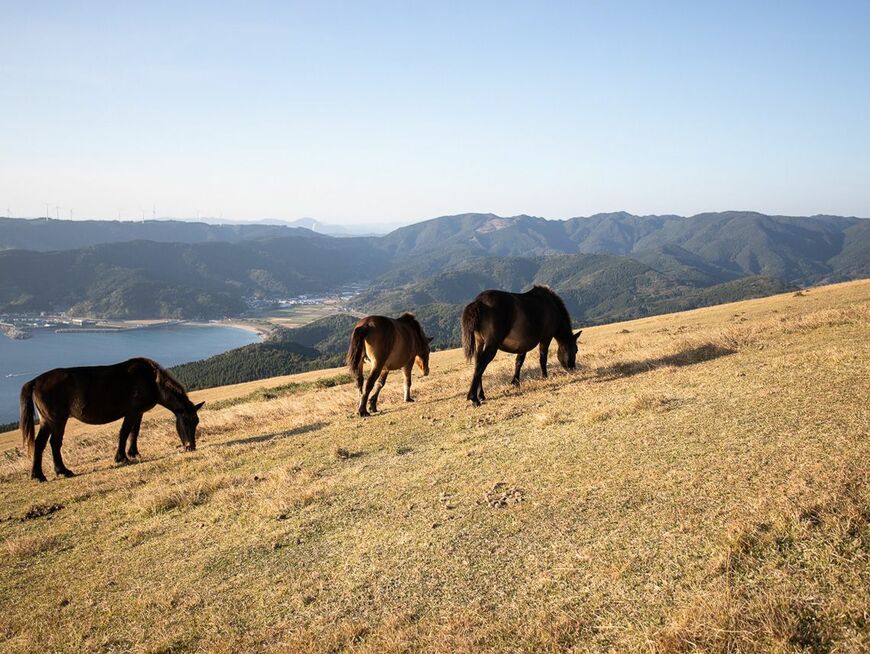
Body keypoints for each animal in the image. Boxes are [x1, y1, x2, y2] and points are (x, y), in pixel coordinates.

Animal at [19, 357, 204, 482]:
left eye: (196, 422)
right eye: (186, 421)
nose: (191, 447)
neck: (152, 381)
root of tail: (35, 381)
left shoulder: (139, 412)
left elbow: (134, 432)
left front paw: (133, 453)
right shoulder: (132, 411)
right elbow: (124, 432)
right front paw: (121, 457)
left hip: (47, 420)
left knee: (40, 443)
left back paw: (40, 474)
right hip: (56, 419)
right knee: (53, 443)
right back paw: (59, 471)